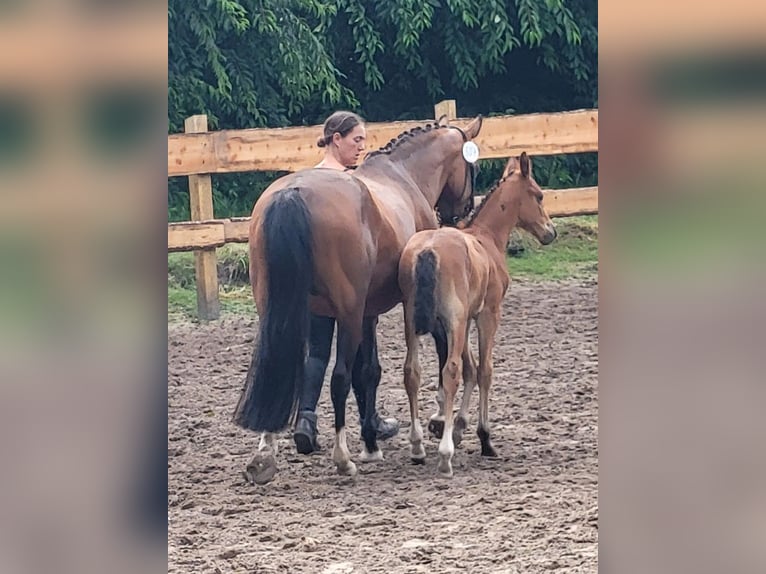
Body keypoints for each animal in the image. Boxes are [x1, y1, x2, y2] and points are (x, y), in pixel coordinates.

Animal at [236, 115, 486, 484]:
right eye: (472, 167)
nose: (462, 213)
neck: (404, 175)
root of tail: (292, 194)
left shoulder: (369, 312)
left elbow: (368, 371)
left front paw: (372, 438)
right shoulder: (398, 307)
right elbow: (378, 369)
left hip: (281, 311)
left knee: (284, 368)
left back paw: (266, 455)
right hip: (347, 313)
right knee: (338, 378)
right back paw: (343, 459)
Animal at [396, 152, 560, 476]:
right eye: (538, 195)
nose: (550, 232)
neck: (485, 237)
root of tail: (428, 250)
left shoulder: (461, 321)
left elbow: (470, 368)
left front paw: (455, 426)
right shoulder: (487, 315)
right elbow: (483, 370)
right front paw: (484, 438)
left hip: (414, 321)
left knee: (413, 372)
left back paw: (418, 446)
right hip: (454, 320)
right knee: (451, 371)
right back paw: (444, 455)